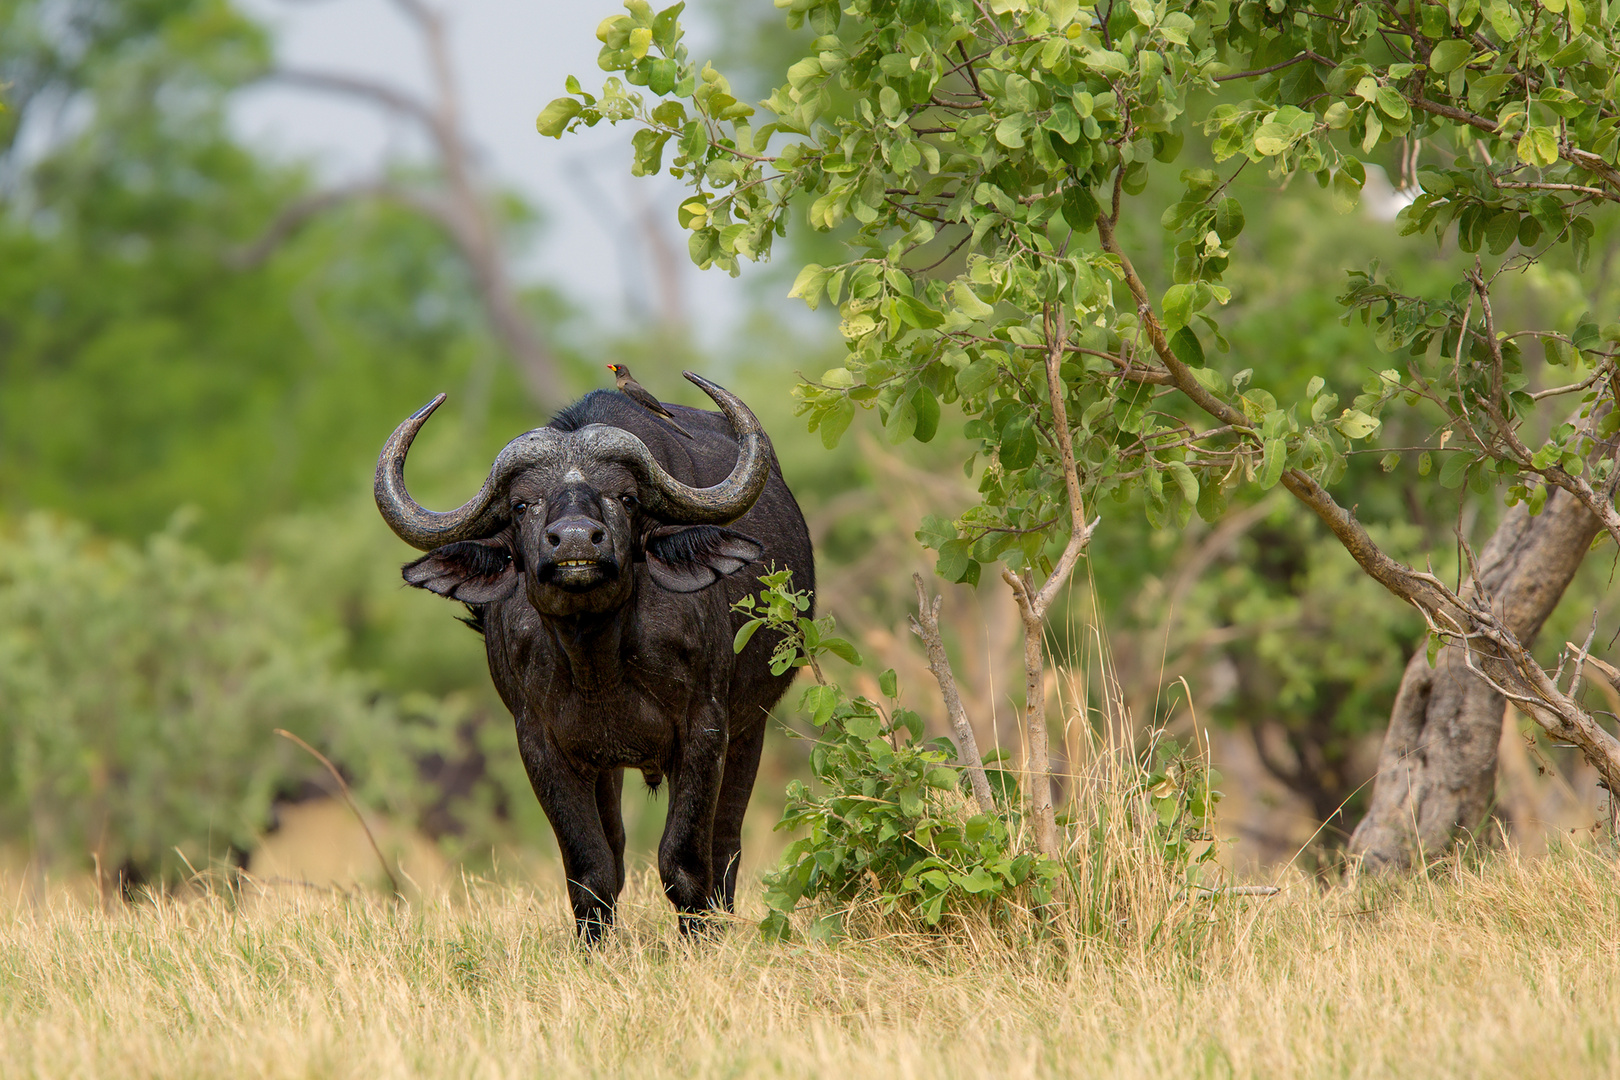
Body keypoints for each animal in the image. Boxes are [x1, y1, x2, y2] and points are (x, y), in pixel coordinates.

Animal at [375, 372, 810, 939]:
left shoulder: (706, 729)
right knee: (620, 849)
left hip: (749, 729)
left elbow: (685, 862)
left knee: (726, 847)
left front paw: (700, 941)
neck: (597, 659)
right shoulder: (544, 745)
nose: (577, 541)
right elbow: (592, 870)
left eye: (625, 497)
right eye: (523, 504)